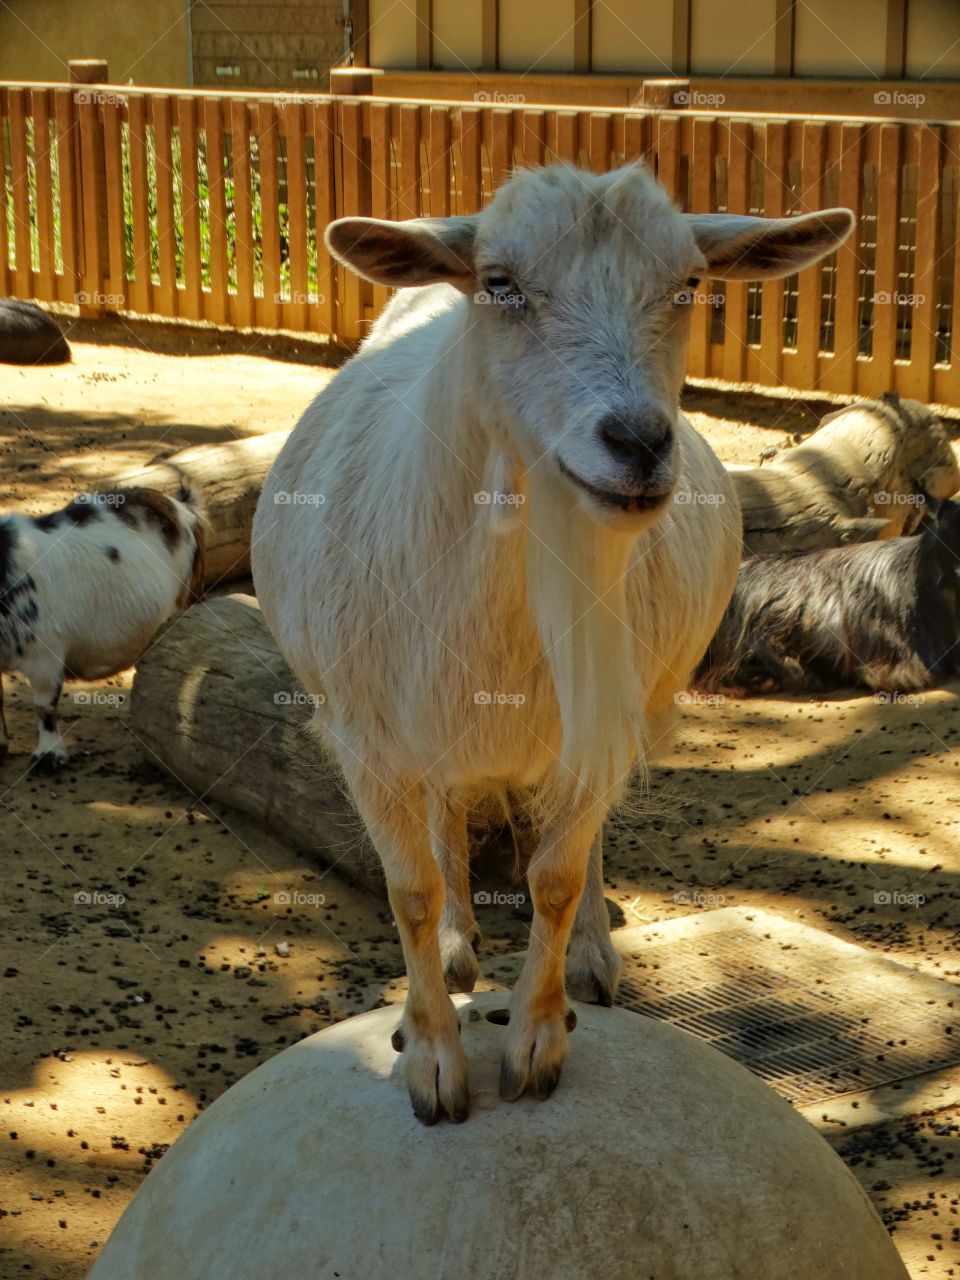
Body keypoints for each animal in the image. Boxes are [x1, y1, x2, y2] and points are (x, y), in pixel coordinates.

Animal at [252, 162, 853, 1123]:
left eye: (689, 284)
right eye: (500, 283)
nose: (639, 441)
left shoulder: (599, 727)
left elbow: (557, 879)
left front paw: (536, 1043)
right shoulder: (365, 736)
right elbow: (410, 888)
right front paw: (433, 1058)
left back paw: (591, 958)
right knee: (446, 820)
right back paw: (458, 944)